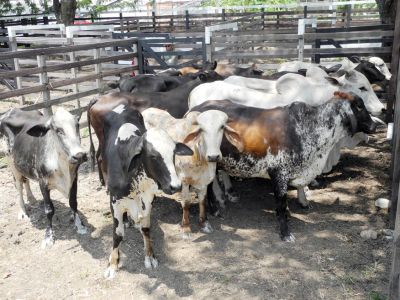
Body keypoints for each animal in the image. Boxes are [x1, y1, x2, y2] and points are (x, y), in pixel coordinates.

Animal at [0, 106, 87, 247]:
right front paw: (48, 237)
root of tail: (12, 110)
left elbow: (73, 203)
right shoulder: (43, 183)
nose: (79, 155)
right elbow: (49, 210)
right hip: (11, 162)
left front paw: (79, 225)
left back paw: (32, 199)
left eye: (77, 125)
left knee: (26, 181)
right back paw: (23, 211)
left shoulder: (74, 178)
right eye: (58, 130)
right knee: (18, 185)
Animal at [101, 105, 192, 278]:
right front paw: (113, 263)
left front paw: (150, 256)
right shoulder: (114, 201)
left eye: (173, 154)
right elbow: (118, 234)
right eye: (153, 156)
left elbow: (146, 229)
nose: (176, 186)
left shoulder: (148, 199)